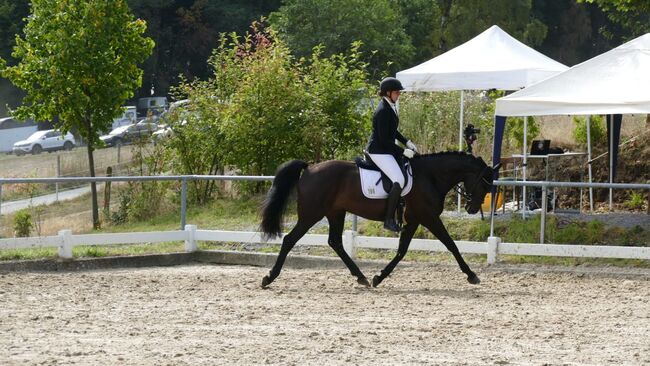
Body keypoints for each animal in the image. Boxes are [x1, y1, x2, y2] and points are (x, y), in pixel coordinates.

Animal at [258, 152, 496, 288]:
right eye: (485, 185)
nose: (472, 208)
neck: (430, 176)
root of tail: (309, 168)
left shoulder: (414, 220)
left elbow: (402, 251)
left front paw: (379, 277)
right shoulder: (428, 217)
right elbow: (451, 245)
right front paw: (472, 275)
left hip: (335, 213)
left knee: (335, 242)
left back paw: (361, 277)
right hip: (311, 214)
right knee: (290, 239)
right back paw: (269, 277)